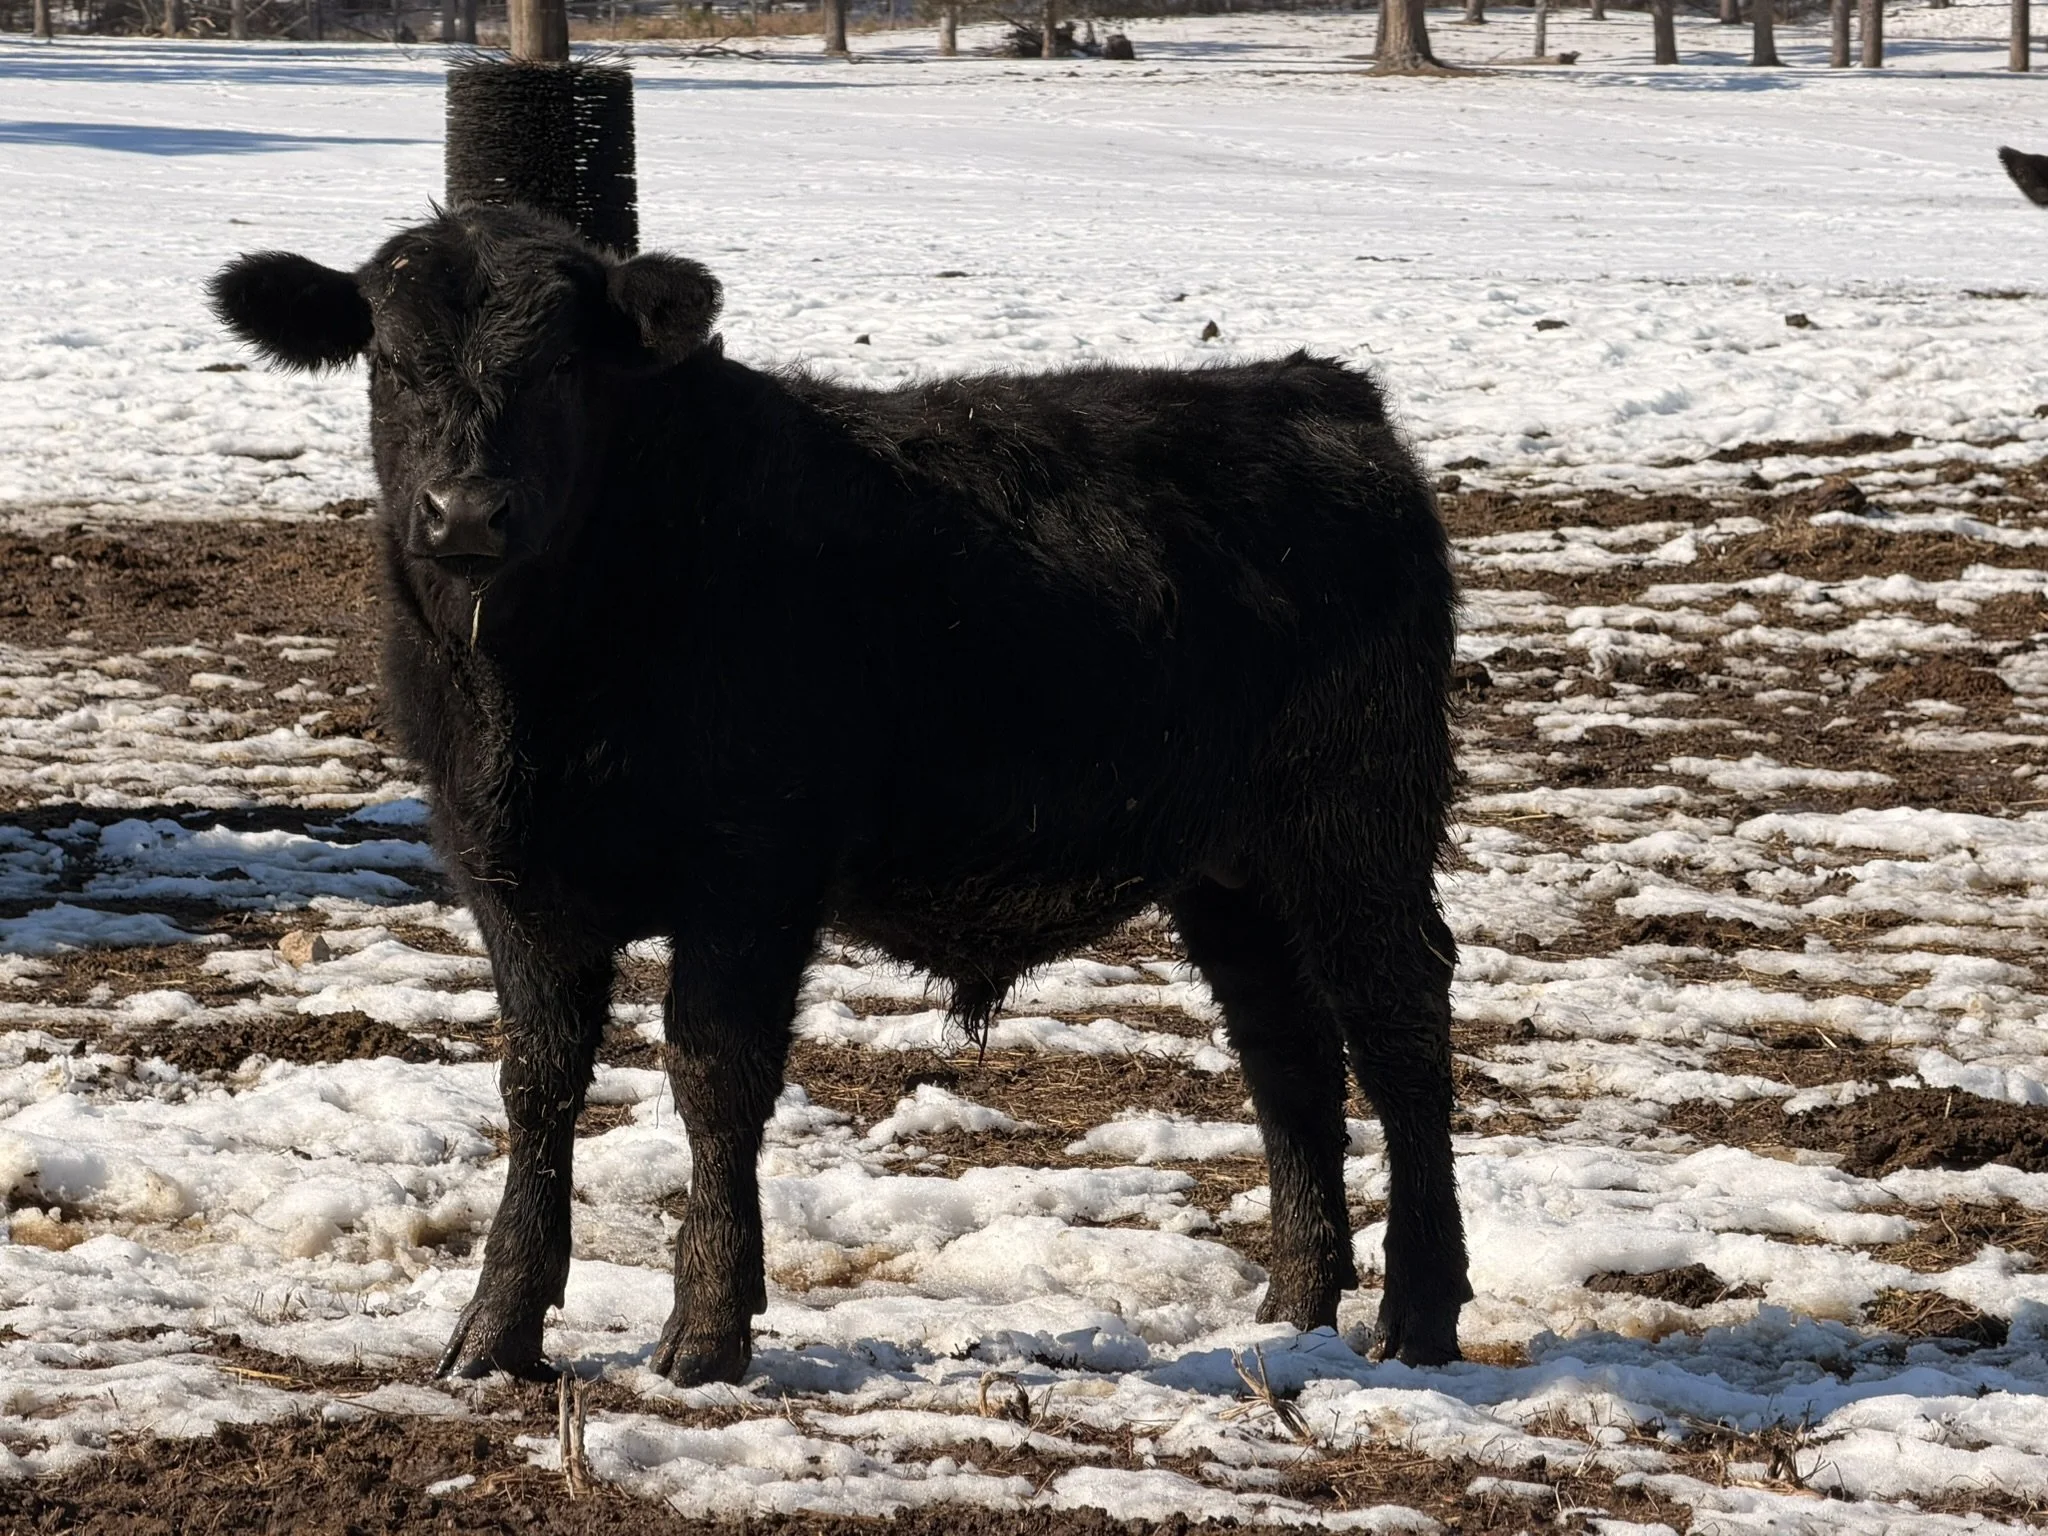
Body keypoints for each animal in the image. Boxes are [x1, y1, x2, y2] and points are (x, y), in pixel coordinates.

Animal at [209, 204, 1467, 1386]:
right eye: (390, 359)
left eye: (564, 364)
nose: (465, 512)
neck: (545, 680)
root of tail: (1313, 390)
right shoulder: (506, 876)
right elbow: (538, 1082)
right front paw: (496, 1331)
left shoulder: (751, 870)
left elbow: (712, 1078)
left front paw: (705, 1334)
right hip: (1227, 871)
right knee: (1285, 1052)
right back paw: (1292, 1311)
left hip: (1357, 826)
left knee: (1398, 1036)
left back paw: (1417, 1315)